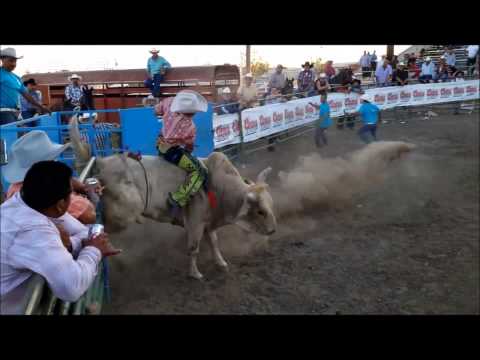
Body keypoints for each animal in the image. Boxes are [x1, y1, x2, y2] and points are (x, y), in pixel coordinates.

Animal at [69, 116, 276, 280]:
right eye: (260, 211)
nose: (273, 230)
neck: (218, 185)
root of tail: (101, 162)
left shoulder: (208, 222)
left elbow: (214, 243)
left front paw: (221, 263)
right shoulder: (195, 222)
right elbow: (193, 248)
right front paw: (195, 273)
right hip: (122, 213)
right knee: (102, 229)